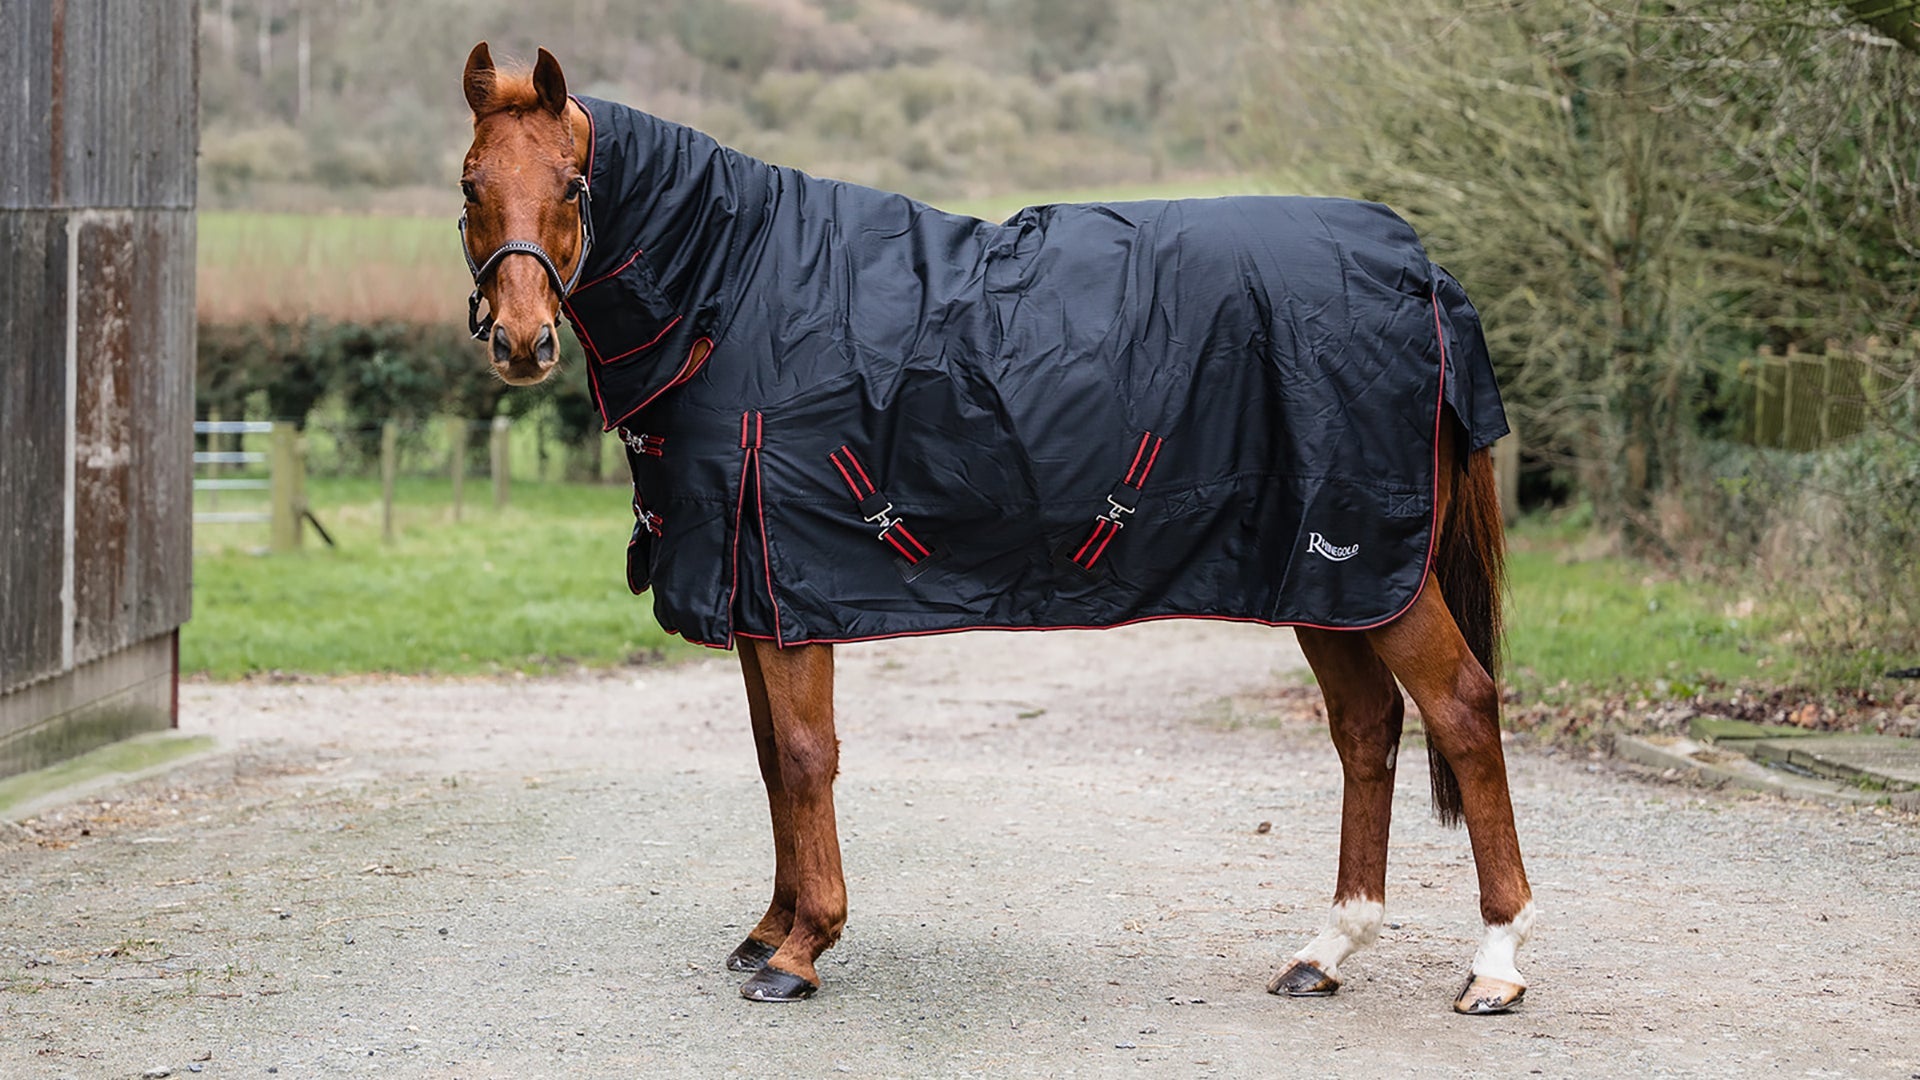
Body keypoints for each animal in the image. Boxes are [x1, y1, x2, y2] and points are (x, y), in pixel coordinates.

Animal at [455, 43, 1534, 1014]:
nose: (522, 343)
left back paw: (1496, 963)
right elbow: (769, 759)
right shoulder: (756, 591)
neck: (741, 292)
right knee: (1367, 728)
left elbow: (804, 756)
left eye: (572, 182)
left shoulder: (789, 583)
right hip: (1327, 582)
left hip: (1371, 569)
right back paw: (1327, 950)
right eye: (470, 184)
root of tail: (1422, 270)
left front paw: (801, 950)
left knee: (1462, 709)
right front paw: (770, 928)